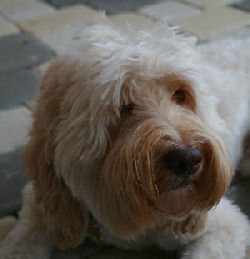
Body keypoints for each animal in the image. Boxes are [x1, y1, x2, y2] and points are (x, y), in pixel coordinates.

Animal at [0, 22, 250, 259]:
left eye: (181, 94)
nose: (188, 159)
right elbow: (23, 238)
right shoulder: (40, 200)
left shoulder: (225, 228)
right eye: (123, 106)